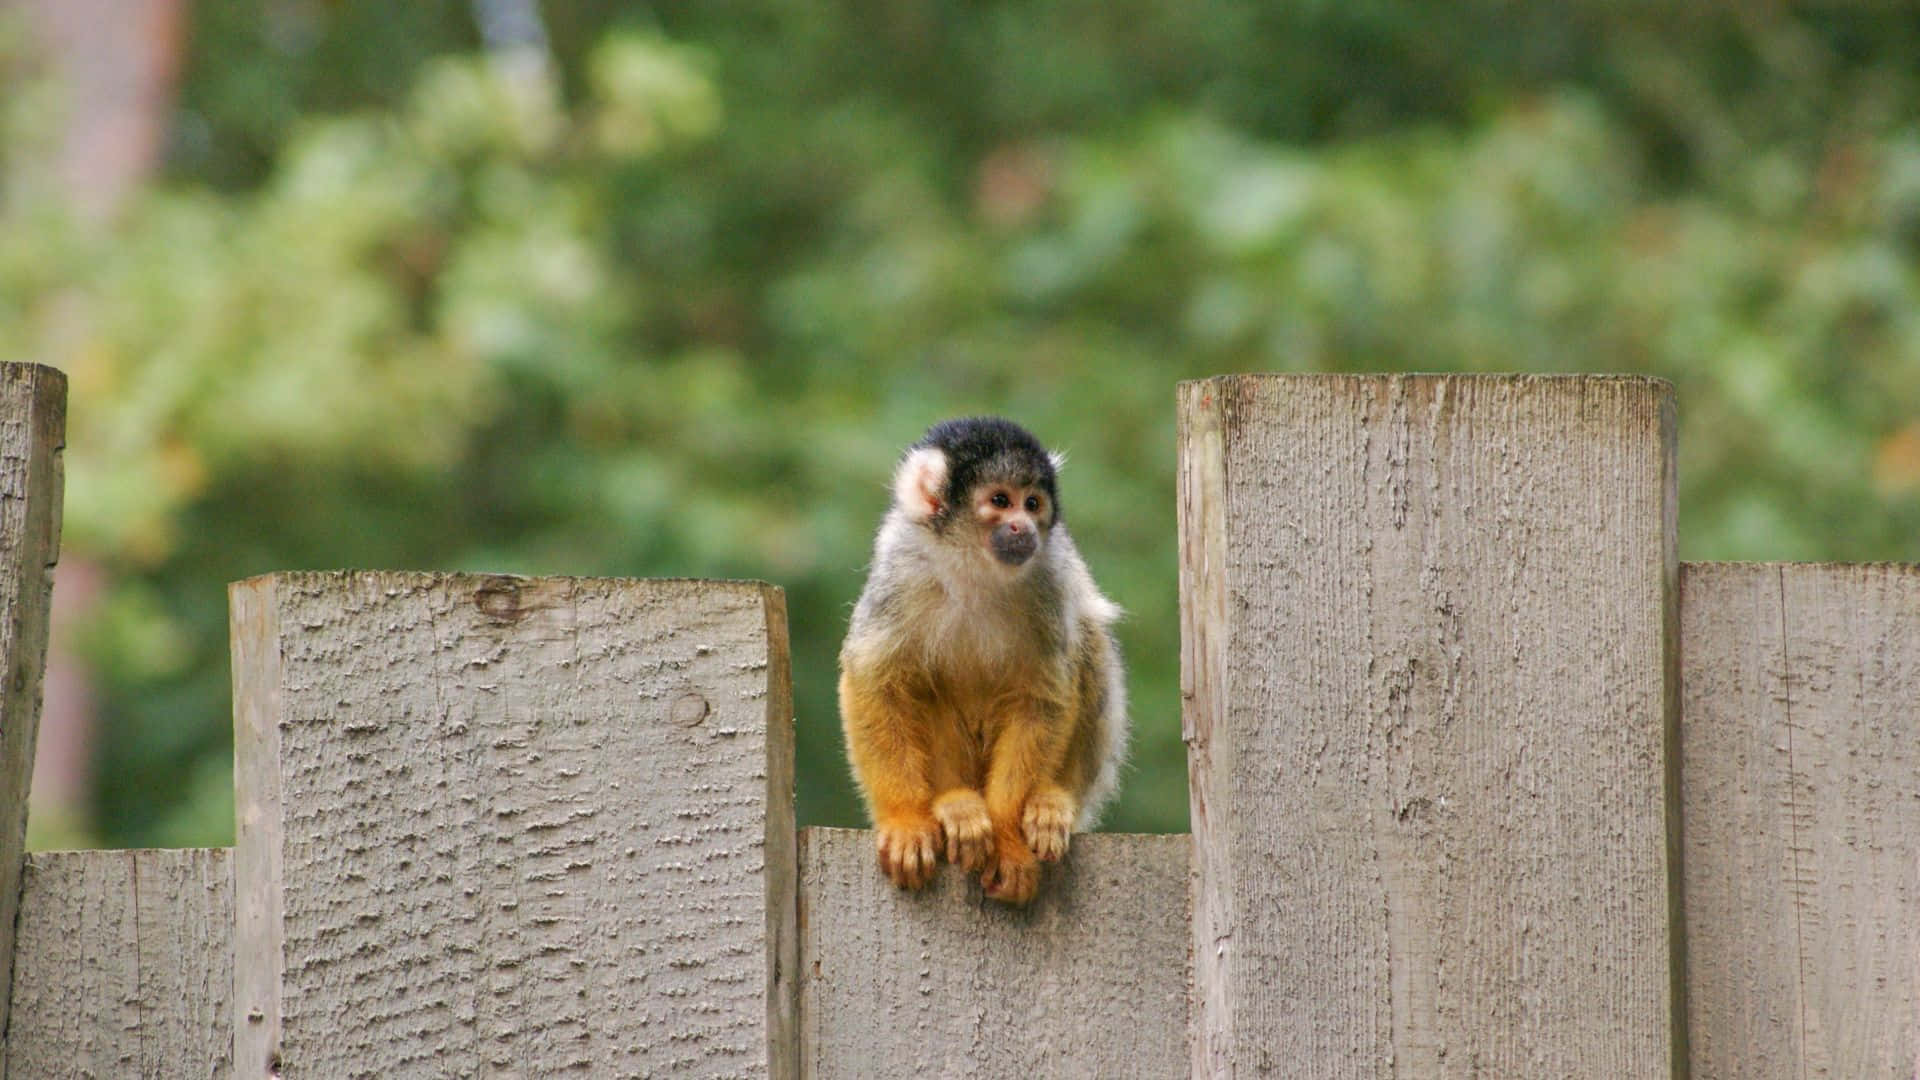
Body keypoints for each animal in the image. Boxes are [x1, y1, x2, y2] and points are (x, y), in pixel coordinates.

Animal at [837, 417, 1121, 903]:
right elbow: (875, 680)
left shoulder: (1049, 577)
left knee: (1087, 637)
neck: (973, 567)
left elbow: (1042, 696)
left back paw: (1052, 801)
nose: (1024, 527)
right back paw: (954, 804)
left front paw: (1007, 838)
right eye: (1000, 501)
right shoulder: (901, 568)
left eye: (1033, 503)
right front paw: (906, 819)